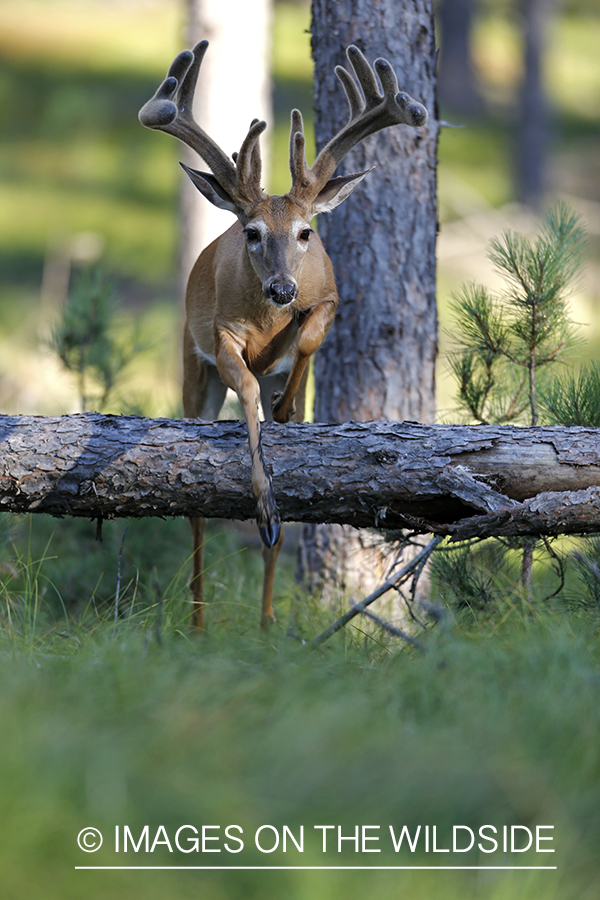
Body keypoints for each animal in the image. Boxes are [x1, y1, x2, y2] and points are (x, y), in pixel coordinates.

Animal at [140, 38, 426, 628]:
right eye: (251, 233)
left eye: (305, 232)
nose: (281, 289)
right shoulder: (221, 336)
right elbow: (246, 385)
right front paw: (264, 503)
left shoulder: (330, 295)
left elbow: (309, 339)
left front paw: (290, 401)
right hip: (192, 368)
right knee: (196, 515)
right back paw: (198, 621)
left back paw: (269, 620)